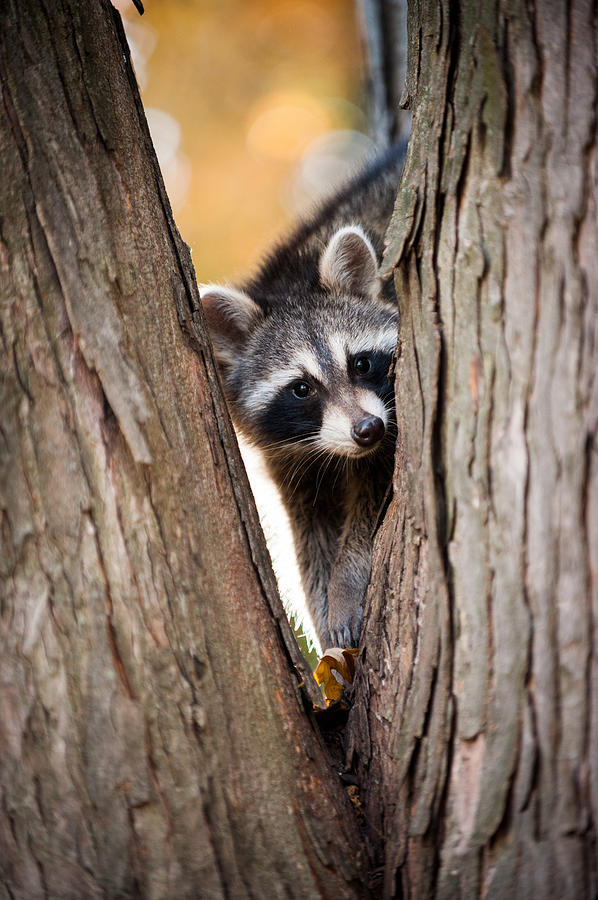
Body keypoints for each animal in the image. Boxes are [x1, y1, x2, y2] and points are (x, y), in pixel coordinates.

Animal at [200, 149, 404, 652]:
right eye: (302, 388)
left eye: (360, 364)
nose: (367, 430)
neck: (291, 280)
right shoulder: (286, 454)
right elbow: (310, 532)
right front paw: (323, 608)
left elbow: (371, 500)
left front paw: (347, 580)